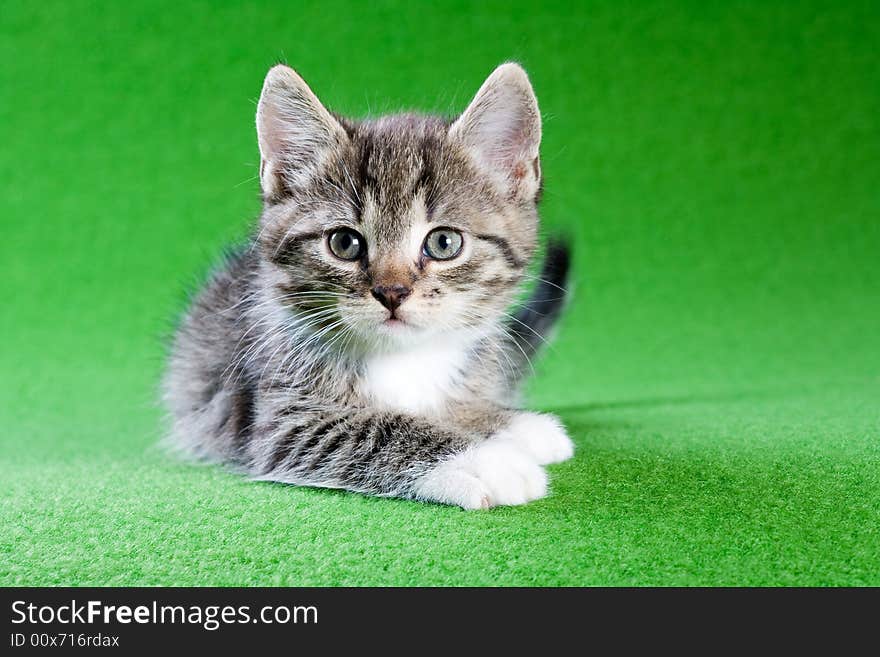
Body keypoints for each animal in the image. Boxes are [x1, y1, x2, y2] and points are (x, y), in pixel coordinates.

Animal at [163, 62, 576, 508]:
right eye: (345, 243)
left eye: (443, 243)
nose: (392, 292)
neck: (405, 359)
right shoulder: (284, 420)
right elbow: (379, 428)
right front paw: (485, 461)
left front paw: (509, 423)